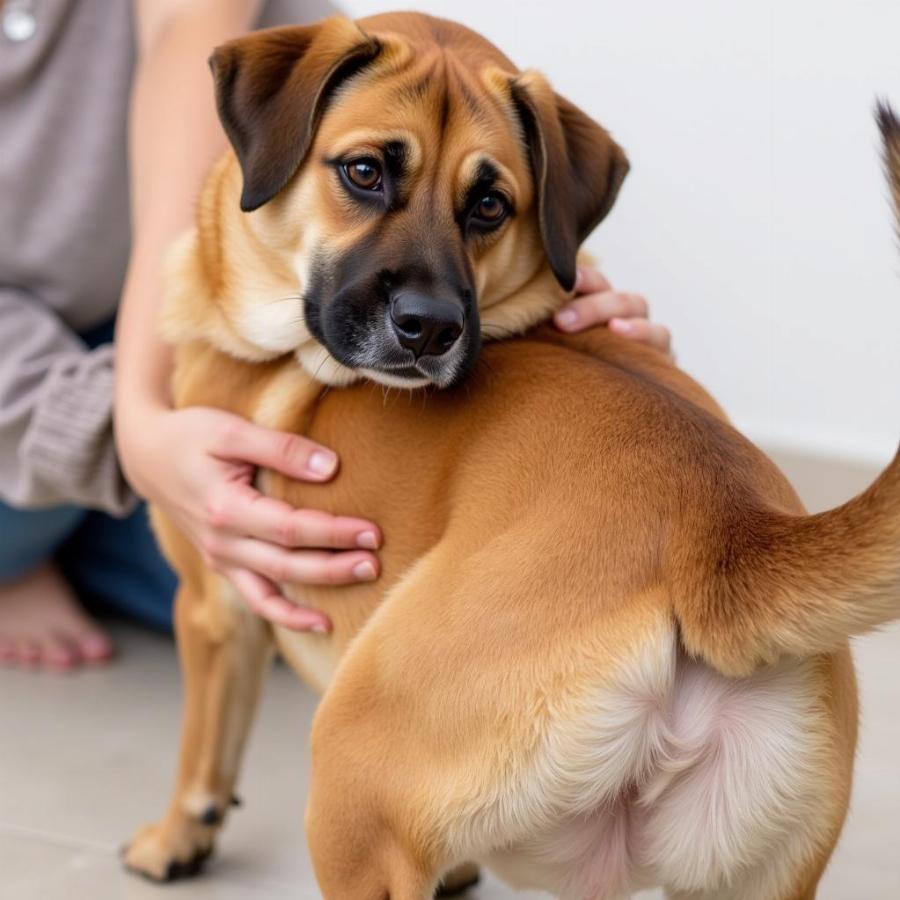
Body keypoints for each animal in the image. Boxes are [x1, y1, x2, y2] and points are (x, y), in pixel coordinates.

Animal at [123, 14, 900, 900]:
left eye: (490, 205)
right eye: (364, 172)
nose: (429, 327)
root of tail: (721, 526)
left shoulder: (213, 602)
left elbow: (206, 748)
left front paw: (176, 837)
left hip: (355, 778)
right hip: (754, 874)